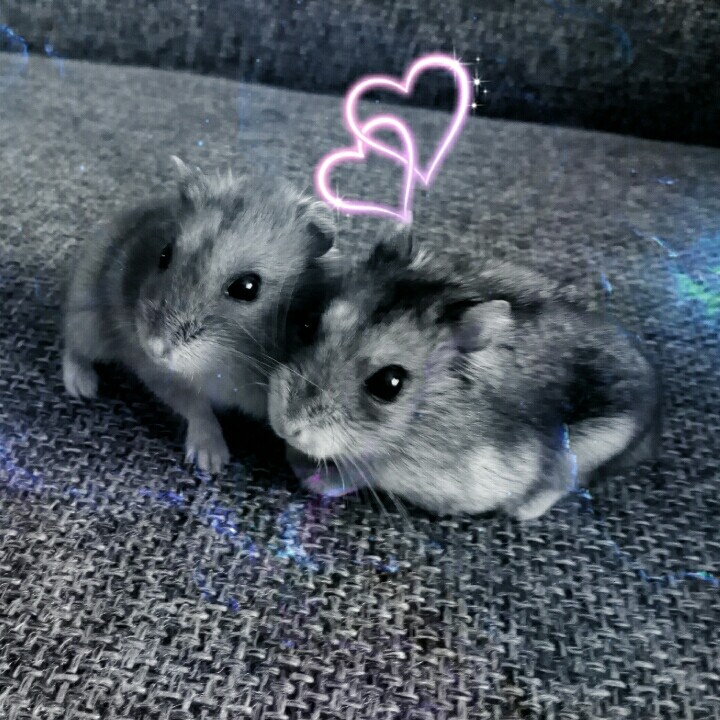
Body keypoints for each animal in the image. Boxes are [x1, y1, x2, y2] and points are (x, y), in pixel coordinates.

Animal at [62, 157, 337, 473]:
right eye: (164, 254)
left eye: (247, 287)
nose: (154, 348)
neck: (224, 362)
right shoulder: (162, 376)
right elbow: (197, 409)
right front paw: (212, 463)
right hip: (88, 320)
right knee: (72, 344)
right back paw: (82, 387)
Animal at [268, 227, 660, 520]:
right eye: (308, 325)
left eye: (390, 383)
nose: (286, 428)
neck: (426, 419)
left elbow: (359, 471)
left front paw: (308, 471)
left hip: (597, 442)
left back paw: (522, 510)